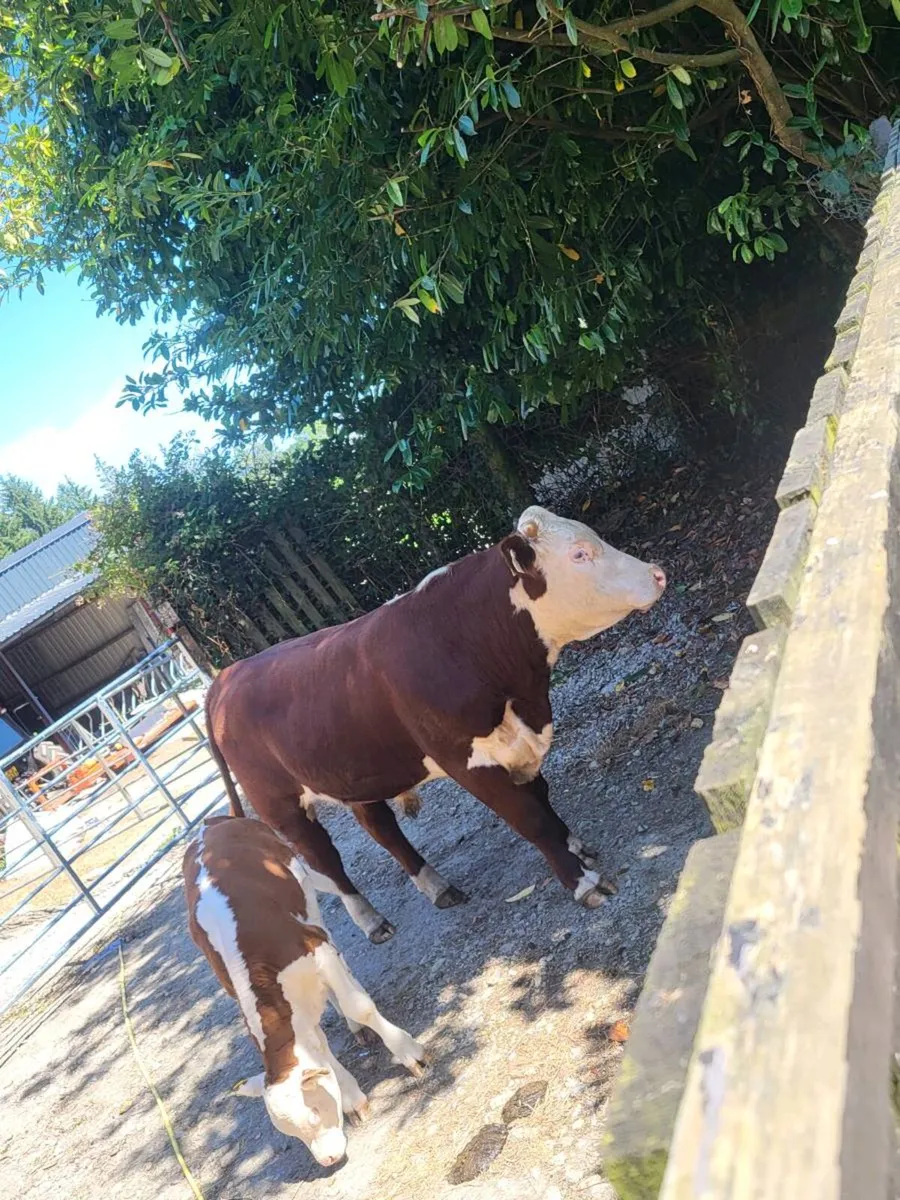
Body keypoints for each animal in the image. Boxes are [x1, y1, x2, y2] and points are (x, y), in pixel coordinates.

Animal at [183, 816, 427, 1167]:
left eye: (313, 1113)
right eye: (292, 1134)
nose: (328, 1159)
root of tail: (210, 823)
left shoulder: (317, 950)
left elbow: (359, 1006)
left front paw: (408, 1053)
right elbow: (319, 1047)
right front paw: (351, 1099)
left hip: (310, 901)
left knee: (339, 955)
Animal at [205, 505, 666, 943]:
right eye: (579, 554)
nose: (657, 574)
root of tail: (226, 678)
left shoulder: (520, 736)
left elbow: (542, 796)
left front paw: (574, 845)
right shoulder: (467, 760)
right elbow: (529, 817)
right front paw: (582, 881)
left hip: (349, 768)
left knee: (381, 827)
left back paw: (436, 886)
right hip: (280, 803)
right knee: (326, 860)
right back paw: (372, 921)